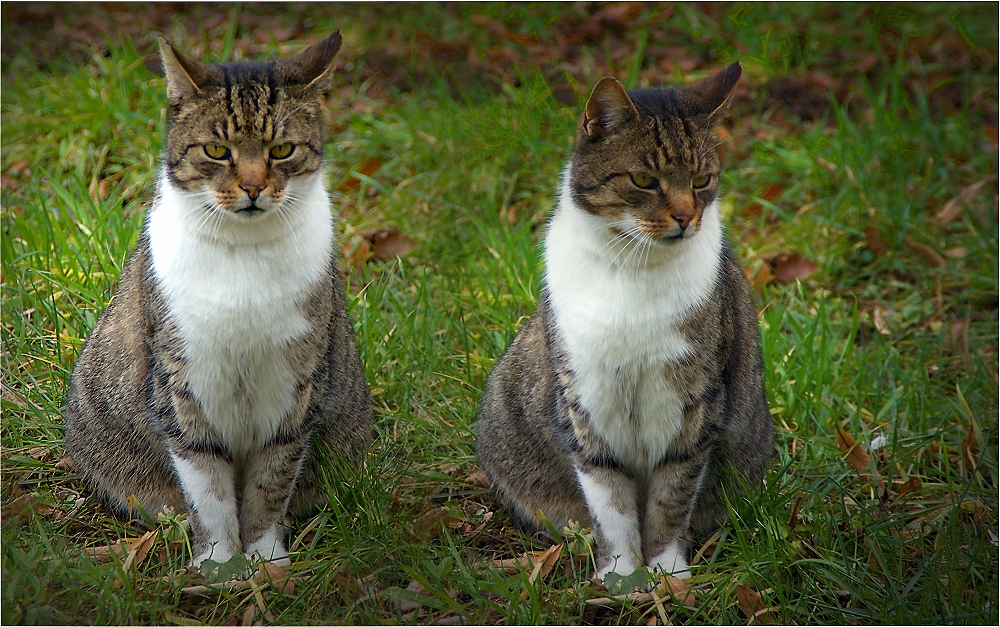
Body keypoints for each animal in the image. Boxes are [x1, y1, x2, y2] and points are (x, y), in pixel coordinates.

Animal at [63, 30, 376, 568]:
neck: (244, 254)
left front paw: (266, 560)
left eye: (281, 149)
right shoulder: (183, 381)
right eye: (216, 149)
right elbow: (206, 484)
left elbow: (272, 480)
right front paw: (220, 563)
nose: (252, 187)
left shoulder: (294, 384)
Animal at [476, 62, 772, 584]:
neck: (631, 266)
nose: (686, 218)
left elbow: (672, 496)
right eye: (643, 179)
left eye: (702, 180)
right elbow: (609, 499)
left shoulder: (694, 402)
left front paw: (667, 575)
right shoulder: (584, 398)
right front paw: (621, 576)